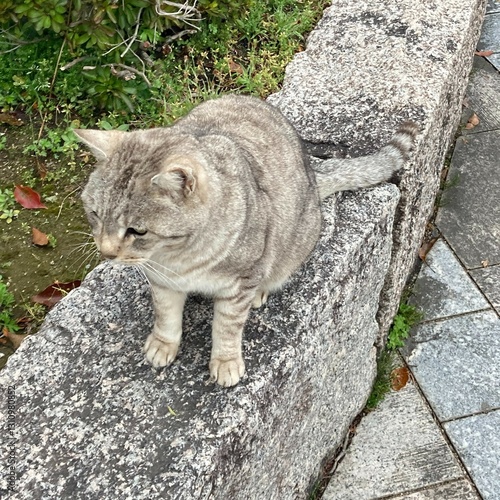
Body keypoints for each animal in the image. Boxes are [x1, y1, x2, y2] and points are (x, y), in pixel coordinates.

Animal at [75, 95, 418, 388]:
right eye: (94, 214)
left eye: (138, 231)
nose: (105, 252)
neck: (179, 258)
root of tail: (313, 174)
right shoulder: (162, 280)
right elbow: (165, 314)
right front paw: (163, 343)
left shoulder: (239, 283)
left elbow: (226, 327)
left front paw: (225, 362)